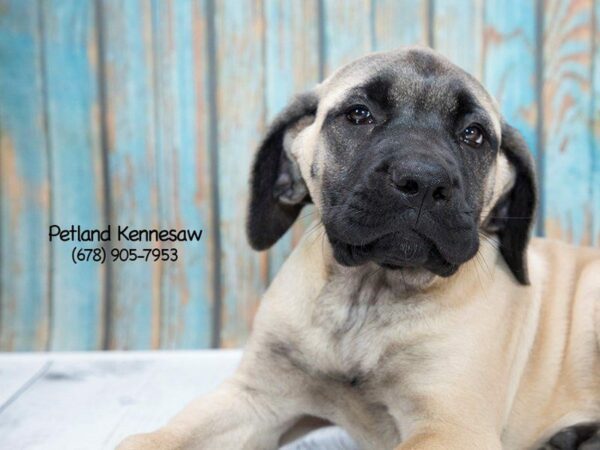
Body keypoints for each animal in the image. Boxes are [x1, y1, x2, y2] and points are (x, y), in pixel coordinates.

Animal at [118, 46, 600, 450]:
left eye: (474, 135)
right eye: (359, 114)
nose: (422, 180)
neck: (366, 296)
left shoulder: (450, 427)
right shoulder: (255, 398)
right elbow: (150, 439)